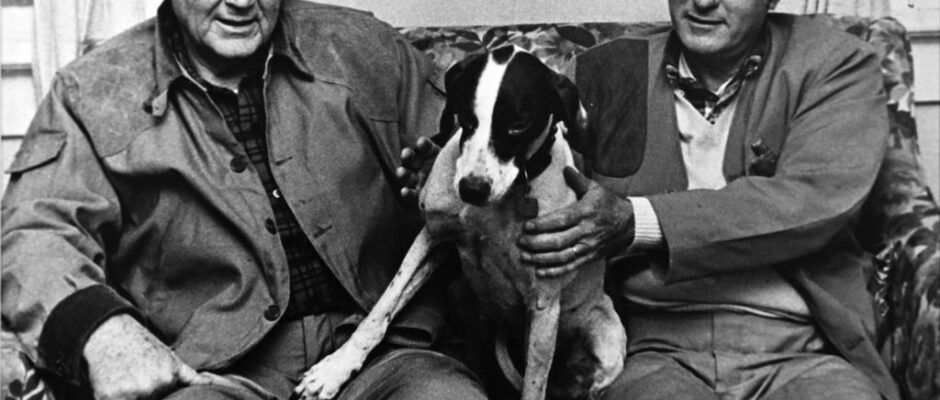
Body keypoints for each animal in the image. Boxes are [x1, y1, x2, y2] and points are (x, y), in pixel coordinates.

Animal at [294, 45, 627, 400]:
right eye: (466, 120)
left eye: (518, 124)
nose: (471, 189)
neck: (498, 206)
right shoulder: (432, 237)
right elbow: (382, 308)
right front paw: (335, 368)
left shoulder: (543, 303)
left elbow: (534, 385)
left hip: (602, 341)